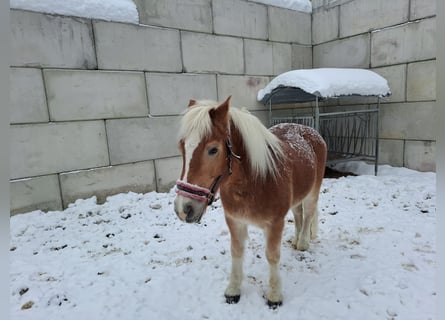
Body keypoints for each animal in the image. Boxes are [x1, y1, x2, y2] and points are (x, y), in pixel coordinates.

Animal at [173, 96, 326, 306]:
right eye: (182, 146)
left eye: (213, 150)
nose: (184, 209)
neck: (256, 181)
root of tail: (311, 132)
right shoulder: (234, 221)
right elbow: (236, 252)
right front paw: (233, 290)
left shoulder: (274, 223)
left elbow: (272, 256)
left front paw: (274, 296)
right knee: (298, 214)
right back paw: (295, 240)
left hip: (312, 192)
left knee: (309, 213)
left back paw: (302, 243)